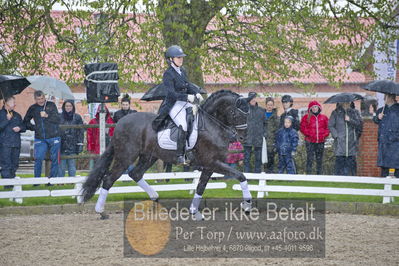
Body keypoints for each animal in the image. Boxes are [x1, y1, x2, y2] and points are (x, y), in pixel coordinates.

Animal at [83, 90, 255, 219]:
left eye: (248, 113)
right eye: (235, 113)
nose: (243, 138)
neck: (212, 125)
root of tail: (120, 123)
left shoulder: (210, 166)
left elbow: (201, 187)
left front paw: (194, 212)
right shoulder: (212, 163)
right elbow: (241, 176)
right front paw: (246, 205)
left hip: (149, 157)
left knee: (135, 173)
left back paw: (155, 197)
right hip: (126, 156)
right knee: (109, 179)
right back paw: (101, 211)